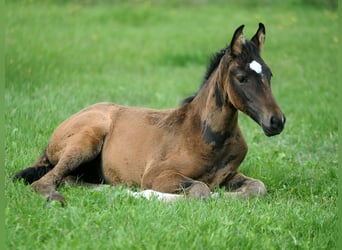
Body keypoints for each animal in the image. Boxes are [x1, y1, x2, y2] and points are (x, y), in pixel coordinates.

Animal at [12, 22, 286, 204]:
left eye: (270, 74)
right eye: (241, 77)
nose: (277, 121)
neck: (207, 136)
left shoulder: (229, 175)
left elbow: (257, 188)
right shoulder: (158, 174)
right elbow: (201, 191)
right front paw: (152, 195)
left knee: (73, 180)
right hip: (87, 139)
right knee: (47, 181)